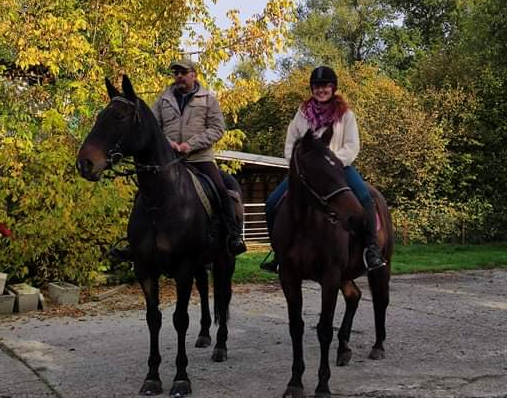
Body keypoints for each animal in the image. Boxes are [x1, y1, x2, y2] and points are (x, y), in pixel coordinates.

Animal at [77, 75, 240, 398]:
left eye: (119, 117)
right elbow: (154, 319)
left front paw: (181, 378)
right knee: (206, 290)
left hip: (225, 260)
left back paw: (220, 346)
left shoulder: (182, 268)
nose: (85, 163)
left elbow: (179, 319)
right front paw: (152, 376)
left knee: (224, 296)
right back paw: (205, 335)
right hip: (202, 264)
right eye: (100, 116)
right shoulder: (146, 270)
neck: (161, 199)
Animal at [272, 128, 394, 398]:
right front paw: (294, 382)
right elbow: (296, 327)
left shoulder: (330, 275)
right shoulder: (289, 276)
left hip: (380, 268)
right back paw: (344, 349)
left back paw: (378, 346)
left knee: (380, 301)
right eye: (317, 170)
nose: (357, 217)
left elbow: (325, 329)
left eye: (339, 167)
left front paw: (322, 386)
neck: (305, 224)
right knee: (354, 296)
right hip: (346, 275)